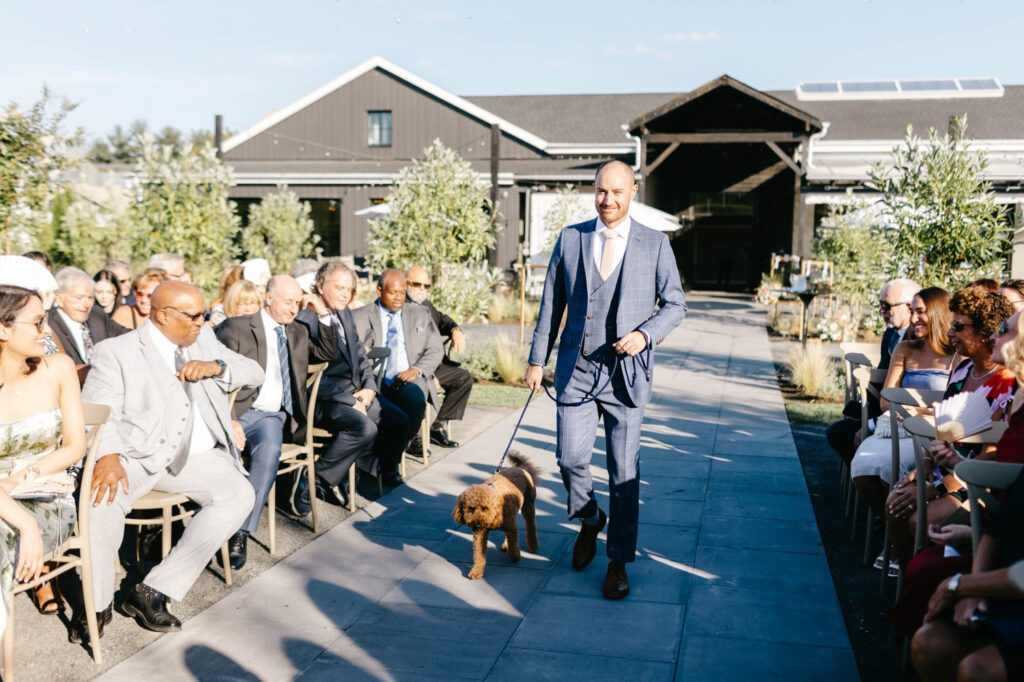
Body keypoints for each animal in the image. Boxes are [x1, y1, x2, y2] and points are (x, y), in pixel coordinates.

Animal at [452, 448, 540, 577]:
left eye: (485, 508)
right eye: (471, 508)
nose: (476, 525)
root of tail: (520, 467)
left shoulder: (509, 526)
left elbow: (514, 545)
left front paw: (515, 556)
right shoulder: (480, 533)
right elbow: (478, 554)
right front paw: (476, 571)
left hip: (528, 505)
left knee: (530, 525)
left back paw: (533, 546)